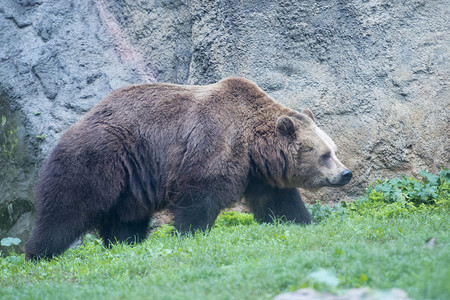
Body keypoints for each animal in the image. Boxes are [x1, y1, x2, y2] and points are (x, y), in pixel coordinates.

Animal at [24, 78, 352, 260]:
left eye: (334, 150)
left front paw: (302, 222)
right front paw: (187, 233)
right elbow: (200, 197)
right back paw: (38, 253)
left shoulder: (259, 173)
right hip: (99, 160)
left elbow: (279, 203)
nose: (345, 173)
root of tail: (72, 127)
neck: (253, 145)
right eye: (325, 154)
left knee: (125, 220)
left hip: (131, 184)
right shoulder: (213, 143)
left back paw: (123, 245)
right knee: (66, 210)